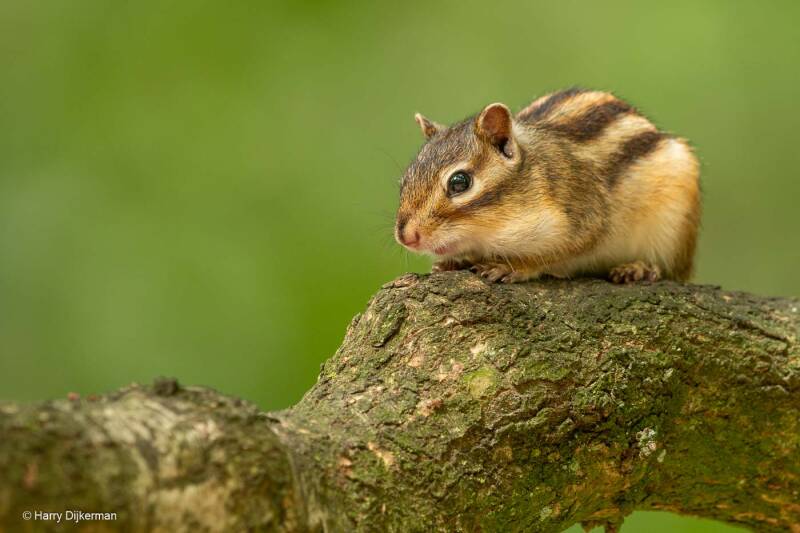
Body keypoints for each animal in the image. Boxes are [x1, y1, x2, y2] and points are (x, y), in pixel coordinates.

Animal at [395, 88, 701, 284]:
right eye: (405, 180)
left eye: (460, 182)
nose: (406, 237)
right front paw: (452, 263)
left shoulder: (584, 217)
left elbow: (556, 253)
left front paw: (510, 267)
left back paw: (639, 268)